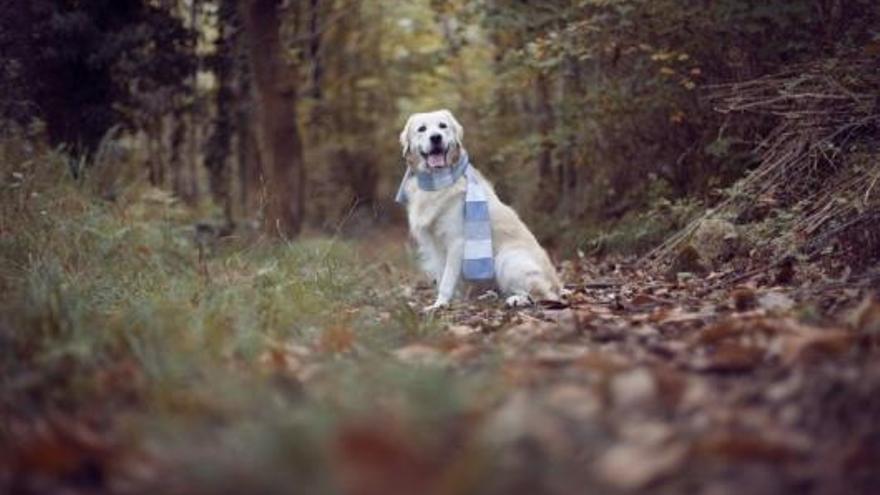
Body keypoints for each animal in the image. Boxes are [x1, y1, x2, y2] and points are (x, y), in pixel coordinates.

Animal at [396, 109, 560, 310]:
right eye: (422, 129)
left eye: (443, 126)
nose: (436, 138)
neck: (436, 182)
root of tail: (559, 284)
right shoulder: (433, 245)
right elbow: (443, 275)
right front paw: (450, 302)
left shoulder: (457, 241)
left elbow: (447, 279)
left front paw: (440, 304)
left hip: (506, 259)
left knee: (540, 294)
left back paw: (516, 300)